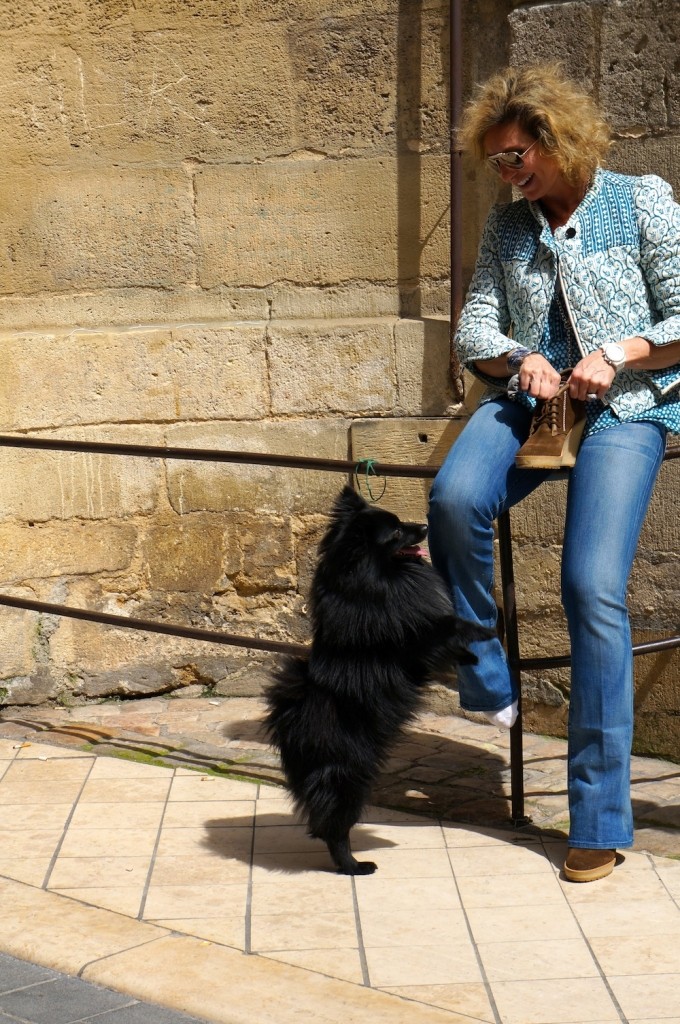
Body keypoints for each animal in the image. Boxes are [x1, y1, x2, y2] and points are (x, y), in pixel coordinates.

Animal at [262, 485, 491, 872]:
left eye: (403, 525)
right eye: (396, 532)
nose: (423, 527)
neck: (372, 579)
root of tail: (294, 722)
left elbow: (450, 643)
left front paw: (470, 655)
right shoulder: (414, 637)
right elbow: (449, 625)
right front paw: (485, 630)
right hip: (349, 776)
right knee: (333, 825)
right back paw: (353, 865)